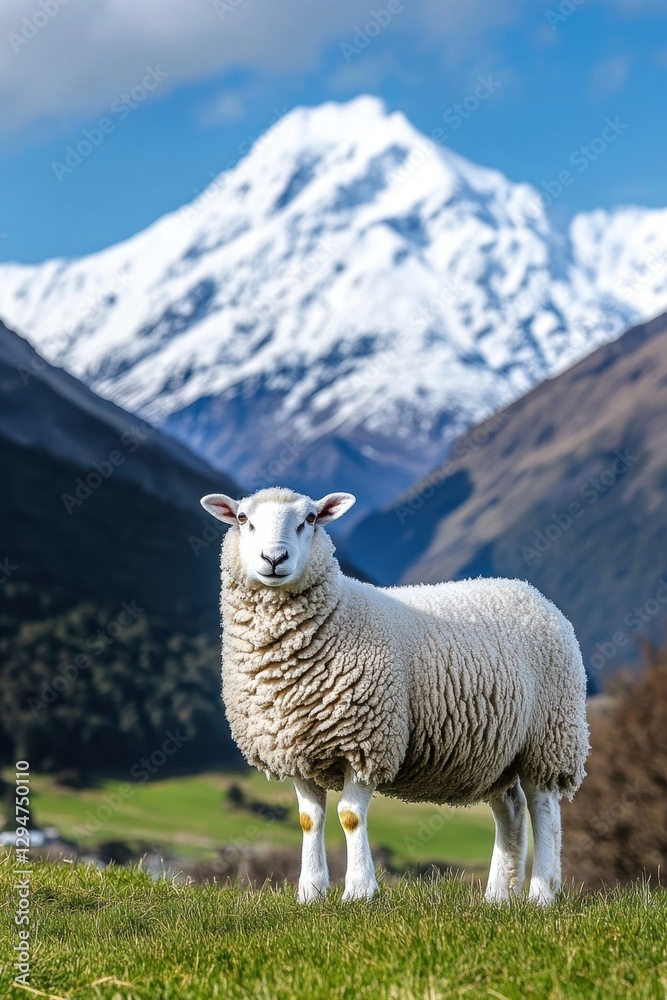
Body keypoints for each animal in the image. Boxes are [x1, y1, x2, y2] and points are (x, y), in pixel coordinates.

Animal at [201, 486, 589, 905]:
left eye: (310, 519)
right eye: (243, 519)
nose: (274, 559)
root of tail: (528, 591)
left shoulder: (366, 740)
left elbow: (350, 816)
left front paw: (358, 890)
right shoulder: (295, 747)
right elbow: (309, 820)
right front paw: (311, 891)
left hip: (550, 735)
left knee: (544, 807)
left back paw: (542, 893)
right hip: (495, 752)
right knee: (512, 808)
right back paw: (498, 896)